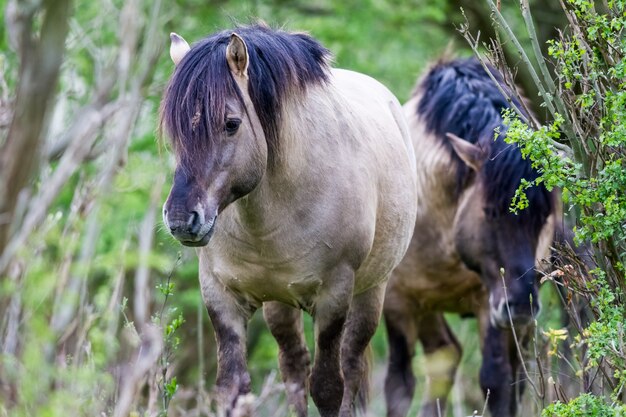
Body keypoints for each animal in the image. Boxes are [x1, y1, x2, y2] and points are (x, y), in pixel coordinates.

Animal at [158, 25, 416, 416]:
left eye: (231, 124)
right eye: (175, 132)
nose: (180, 218)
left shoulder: (334, 297)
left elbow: (328, 388)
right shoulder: (221, 295)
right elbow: (233, 388)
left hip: (371, 291)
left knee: (351, 365)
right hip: (279, 304)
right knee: (293, 367)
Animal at [382, 57, 552, 416]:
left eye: (544, 218)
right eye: (488, 211)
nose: (520, 305)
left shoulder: (489, 301)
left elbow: (496, 381)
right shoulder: (397, 302)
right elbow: (399, 384)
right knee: (443, 355)